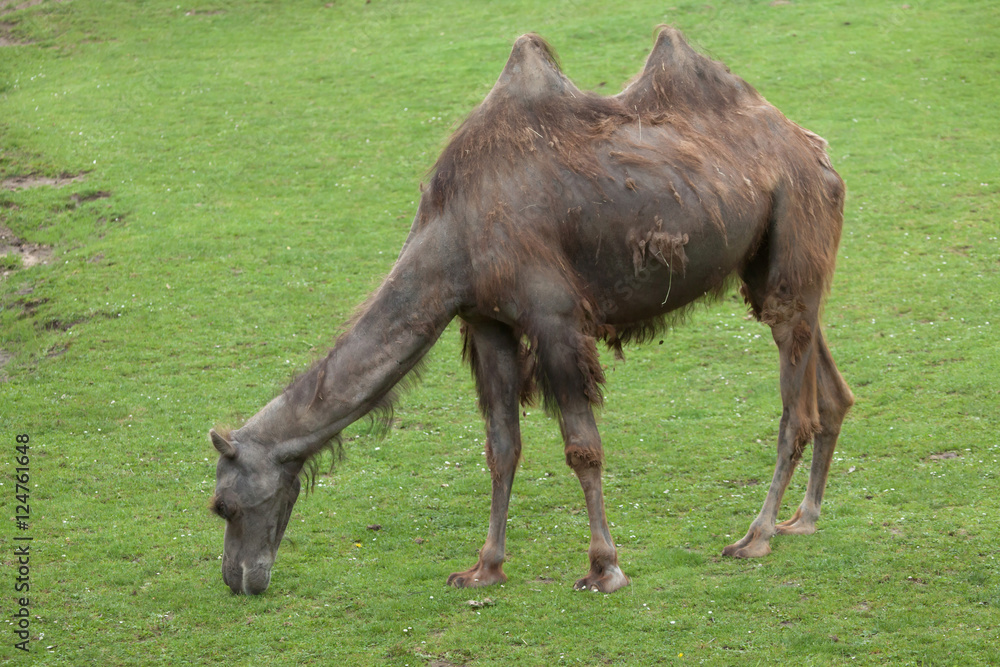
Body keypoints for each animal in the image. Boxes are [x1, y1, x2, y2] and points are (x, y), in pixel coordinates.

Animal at [209, 26, 853, 595]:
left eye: (223, 505)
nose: (239, 579)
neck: (451, 233)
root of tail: (817, 150)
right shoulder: (486, 321)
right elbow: (501, 448)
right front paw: (485, 569)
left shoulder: (554, 317)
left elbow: (582, 447)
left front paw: (604, 569)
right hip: (771, 265)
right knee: (830, 386)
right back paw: (804, 519)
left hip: (794, 221)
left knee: (796, 408)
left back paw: (755, 536)